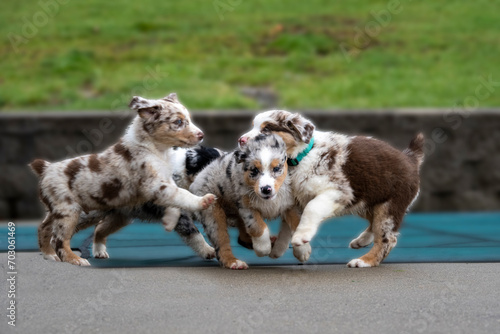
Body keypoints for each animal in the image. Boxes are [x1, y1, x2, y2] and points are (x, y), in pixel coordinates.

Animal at [29, 93, 215, 266]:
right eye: (178, 122)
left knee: (55, 227)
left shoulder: (165, 185)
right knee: (59, 238)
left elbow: (176, 202)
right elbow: (183, 197)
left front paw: (169, 222)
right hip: (71, 210)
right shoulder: (156, 185)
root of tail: (46, 168)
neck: (155, 149)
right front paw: (203, 202)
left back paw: (51, 254)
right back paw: (74, 259)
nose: (201, 135)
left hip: (111, 215)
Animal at [190, 133, 300, 268]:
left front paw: (303, 251)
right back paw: (233, 262)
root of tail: (199, 177)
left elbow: (298, 223)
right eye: (255, 170)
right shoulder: (246, 205)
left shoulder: (289, 204)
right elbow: (258, 226)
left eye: (276, 169)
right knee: (221, 242)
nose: (266, 189)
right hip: (212, 213)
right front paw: (263, 249)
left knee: (242, 238)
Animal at [238, 111, 422, 268]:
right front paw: (279, 249)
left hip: (389, 205)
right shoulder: (295, 200)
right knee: (374, 224)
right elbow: (287, 225)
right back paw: (362, 240)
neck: (302, 157)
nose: (240, 140)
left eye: (266, 129)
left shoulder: (337, 191)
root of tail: (410, 159)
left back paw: (364, 261)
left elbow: (311, 209)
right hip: (368, 200)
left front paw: (301, 237)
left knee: (387, 239)